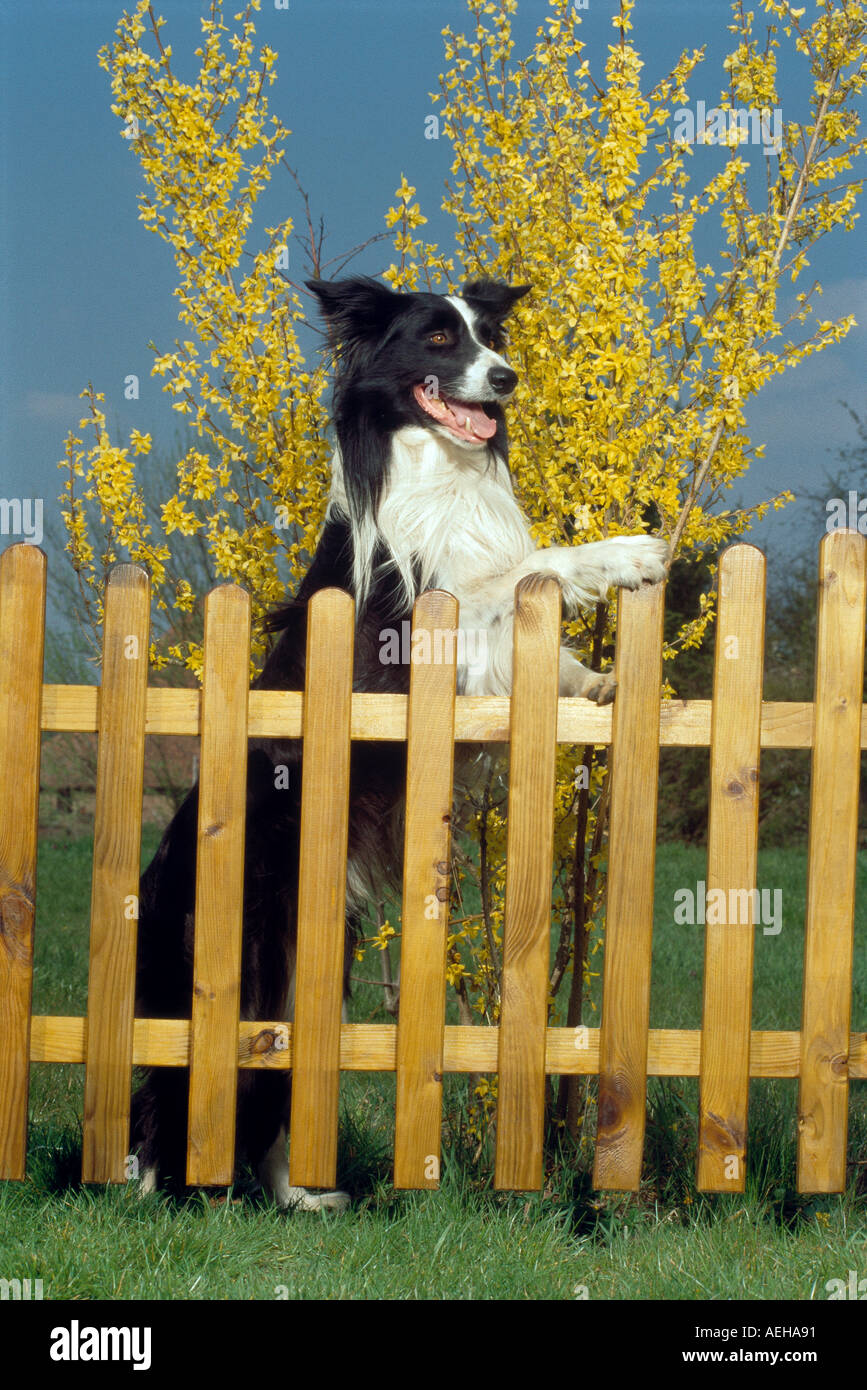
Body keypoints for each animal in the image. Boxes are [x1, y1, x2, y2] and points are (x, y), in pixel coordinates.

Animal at [130, 271, 669, 1206]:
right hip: (244, 950)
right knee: (186, 1079)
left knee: (279, 1065)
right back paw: (144, 1192)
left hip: (313, 948)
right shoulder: (419, 639)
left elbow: (531, 623)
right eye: (439, 340)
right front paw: (622, 553)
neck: (437, 467)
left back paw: (304, 1197)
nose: (507, 379)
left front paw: (593, 681)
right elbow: (527, 570)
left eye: (490, 334)